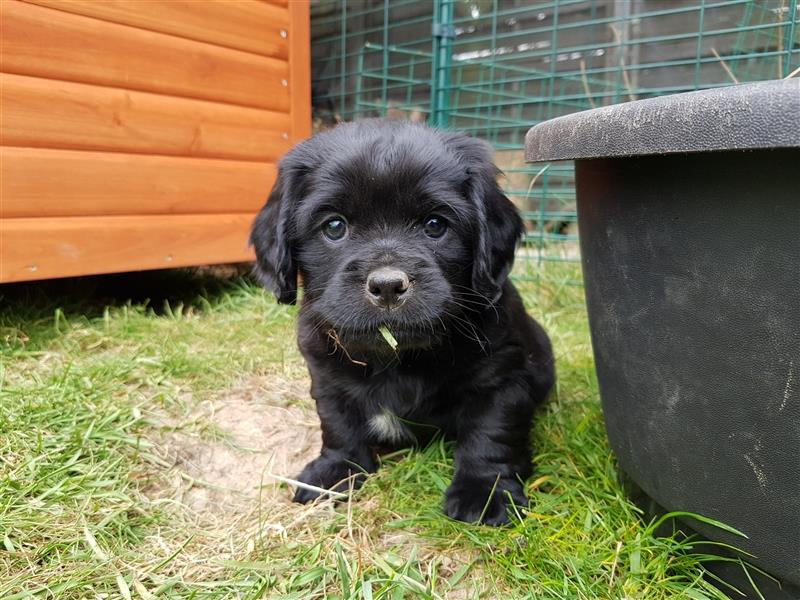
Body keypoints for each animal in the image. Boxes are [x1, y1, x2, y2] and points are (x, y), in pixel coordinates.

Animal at [253, 118, 552, 524]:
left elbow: (490, 433)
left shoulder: (502, 379)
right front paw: (335, 472)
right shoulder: (326, 376)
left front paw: (486, 493)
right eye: (334, 227)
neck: (396, 357)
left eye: (435, 225)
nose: (388, 286)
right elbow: (338, 424)